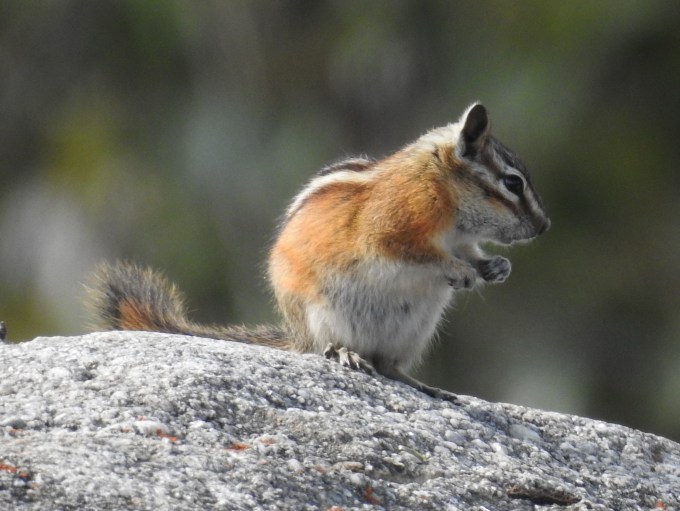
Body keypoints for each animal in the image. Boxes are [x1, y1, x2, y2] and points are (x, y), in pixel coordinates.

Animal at [87, 103, 550, 402]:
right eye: (512, 183)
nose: (544, 226)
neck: (446, 195)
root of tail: (298, 337)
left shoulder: (462, 238)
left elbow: (472, 251)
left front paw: (494, 266)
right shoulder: (394, 224)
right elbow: (410, 252)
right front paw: (460, 271)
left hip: (413, 331)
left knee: (388, 365)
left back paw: (421, 384)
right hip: (325, 314)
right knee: (332, 349)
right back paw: (345, 353)